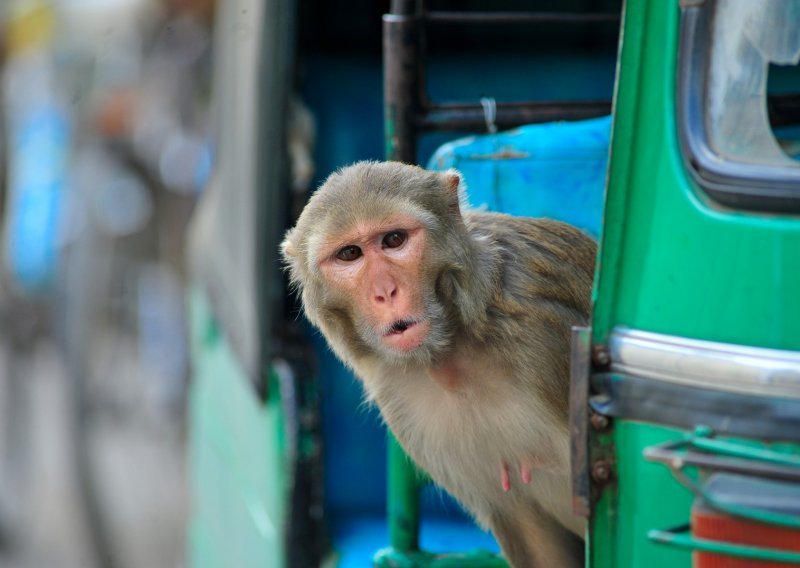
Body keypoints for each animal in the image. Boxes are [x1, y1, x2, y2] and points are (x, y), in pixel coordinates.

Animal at [282, 161, 592, 568]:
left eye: (394, 239)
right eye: (349, 254)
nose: (385, 292)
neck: (451, 348)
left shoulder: (544, 330)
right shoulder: (400, 401)